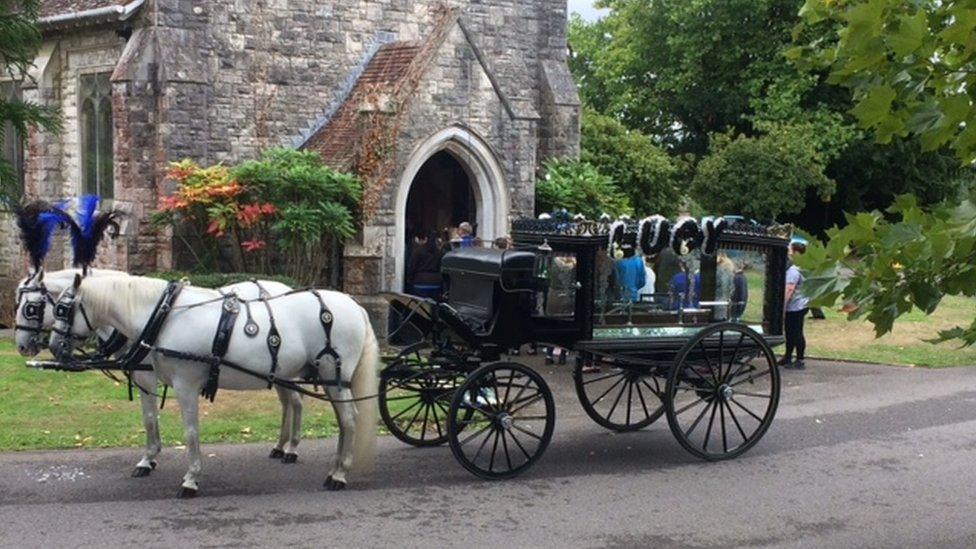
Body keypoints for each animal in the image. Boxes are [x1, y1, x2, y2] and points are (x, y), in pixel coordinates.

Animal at [14, 270, 304, 476]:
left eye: (31, 307)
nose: (23, 346)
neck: (152, 317)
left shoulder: (148, 377)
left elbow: (151, 418)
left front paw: (150, 459)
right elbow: (149, 417)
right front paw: (150, 458)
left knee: (296, 401)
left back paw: (291, 448)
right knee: (288, 402)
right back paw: (280, 446)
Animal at [47, 274, 380, 496]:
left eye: (62, 309)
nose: (53, 347)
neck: (165, 316)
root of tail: (355, 306)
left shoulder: (185, 385)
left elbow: (191, 433)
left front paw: (190, 479)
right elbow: (151, 420)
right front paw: (151, 461)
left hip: (333, 375)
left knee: (349, 420)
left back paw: (339, 474)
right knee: (335, 418)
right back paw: (329, 464)